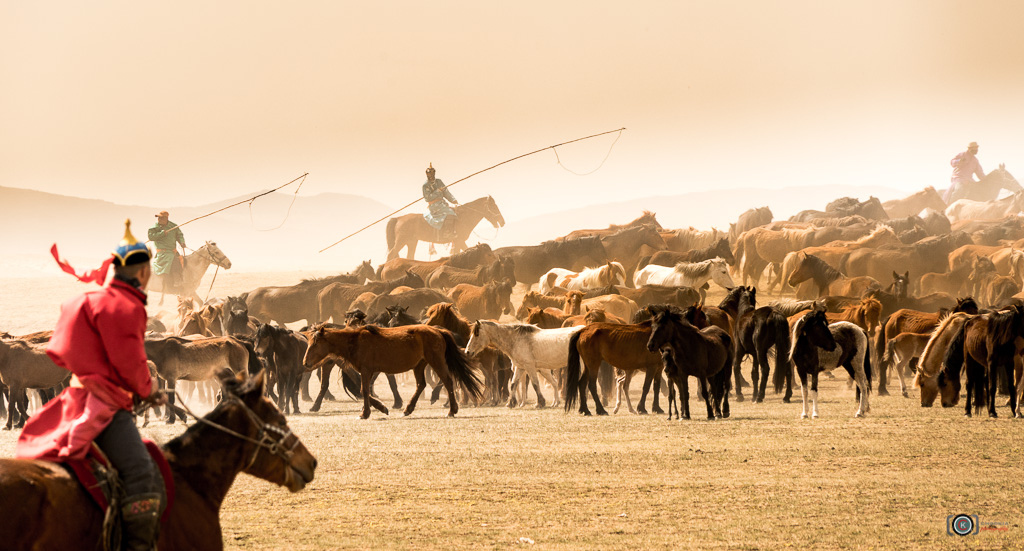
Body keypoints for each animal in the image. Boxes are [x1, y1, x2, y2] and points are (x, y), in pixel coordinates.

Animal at [301, 321, 481, 415]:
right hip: (419, 365)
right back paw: (408, 408)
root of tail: (437, 330)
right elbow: (365, 390)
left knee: (448, 381)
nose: (305, 362)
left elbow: (364, 390)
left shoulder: (366, 370)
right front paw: (379, 408)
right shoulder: (368, 372)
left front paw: (366, 413)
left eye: (315, 343)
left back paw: (452, 410)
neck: (355, 341)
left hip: (436, 361)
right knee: (421, 384)